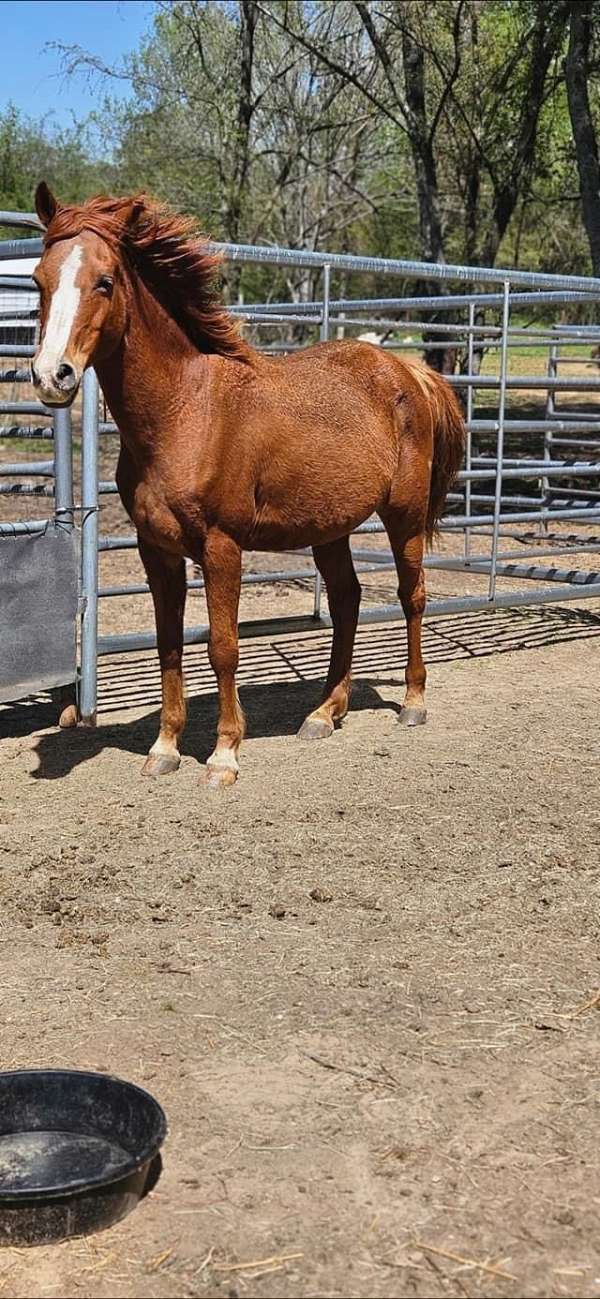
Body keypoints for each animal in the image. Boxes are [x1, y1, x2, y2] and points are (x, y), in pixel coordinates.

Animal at [31, 184, 464, 784]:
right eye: (38, 280)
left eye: (105, 281)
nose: (53, 376)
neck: (185, 412)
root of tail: (409, 372)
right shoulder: (156, 550)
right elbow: (168, 644)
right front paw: (164, 749)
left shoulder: (222, 547)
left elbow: (223, 646)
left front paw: (223, 755)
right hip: (330, 528)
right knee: (348, 600)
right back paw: (324, 713)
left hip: (403, 516)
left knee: (411, 595)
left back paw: (413, 704)